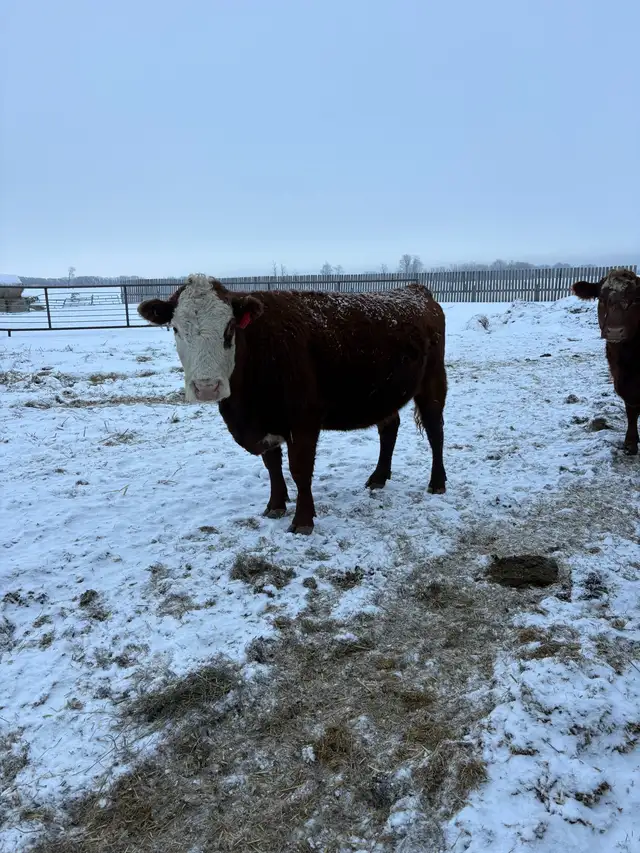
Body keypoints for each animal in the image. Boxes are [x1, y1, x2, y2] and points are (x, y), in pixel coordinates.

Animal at [138, 274, 447, 534]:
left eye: (229, 328)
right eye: (176, 329)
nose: (206, 387)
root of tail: (416, 290)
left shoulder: (304, 420)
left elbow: (300, 470)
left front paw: (303, 520)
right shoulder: (265, 423)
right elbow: (272, 465)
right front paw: (275, 505)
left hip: (432, 383)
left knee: (435, 432)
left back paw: (437, 483)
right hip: (384, 394)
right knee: (389, 429)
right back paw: (379, 477)